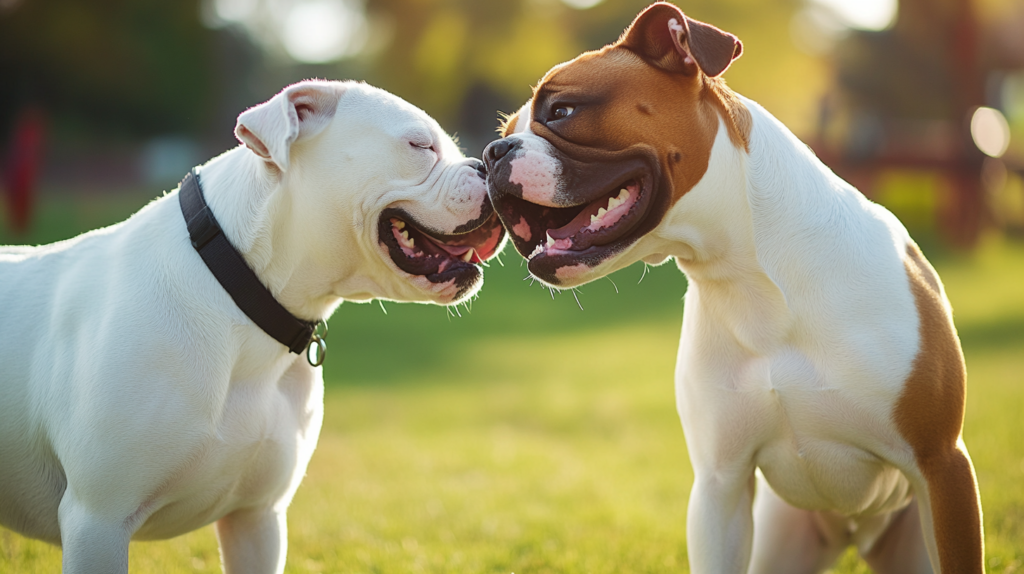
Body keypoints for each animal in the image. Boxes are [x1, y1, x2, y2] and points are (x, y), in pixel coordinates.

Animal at [485, 4, 983, 572]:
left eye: (563, 110)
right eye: (506, 130)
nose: (492, 151)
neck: (749, 278)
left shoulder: (941, 466)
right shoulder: (719, 488)